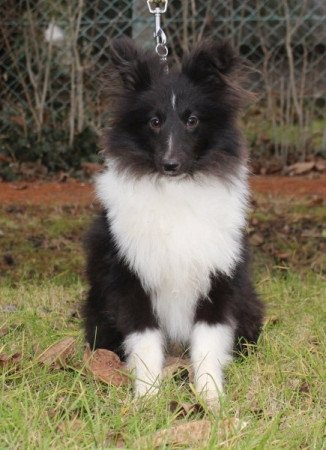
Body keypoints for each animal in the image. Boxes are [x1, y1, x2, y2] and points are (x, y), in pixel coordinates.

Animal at [83, 36, 264, 408]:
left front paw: (211, 397)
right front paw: (148, 397)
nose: (170, 164)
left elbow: (208, 343)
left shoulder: (218, 278)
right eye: (154, 122)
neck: (175, 189)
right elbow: (144, 340)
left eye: (192, 120)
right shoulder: (130, 276)